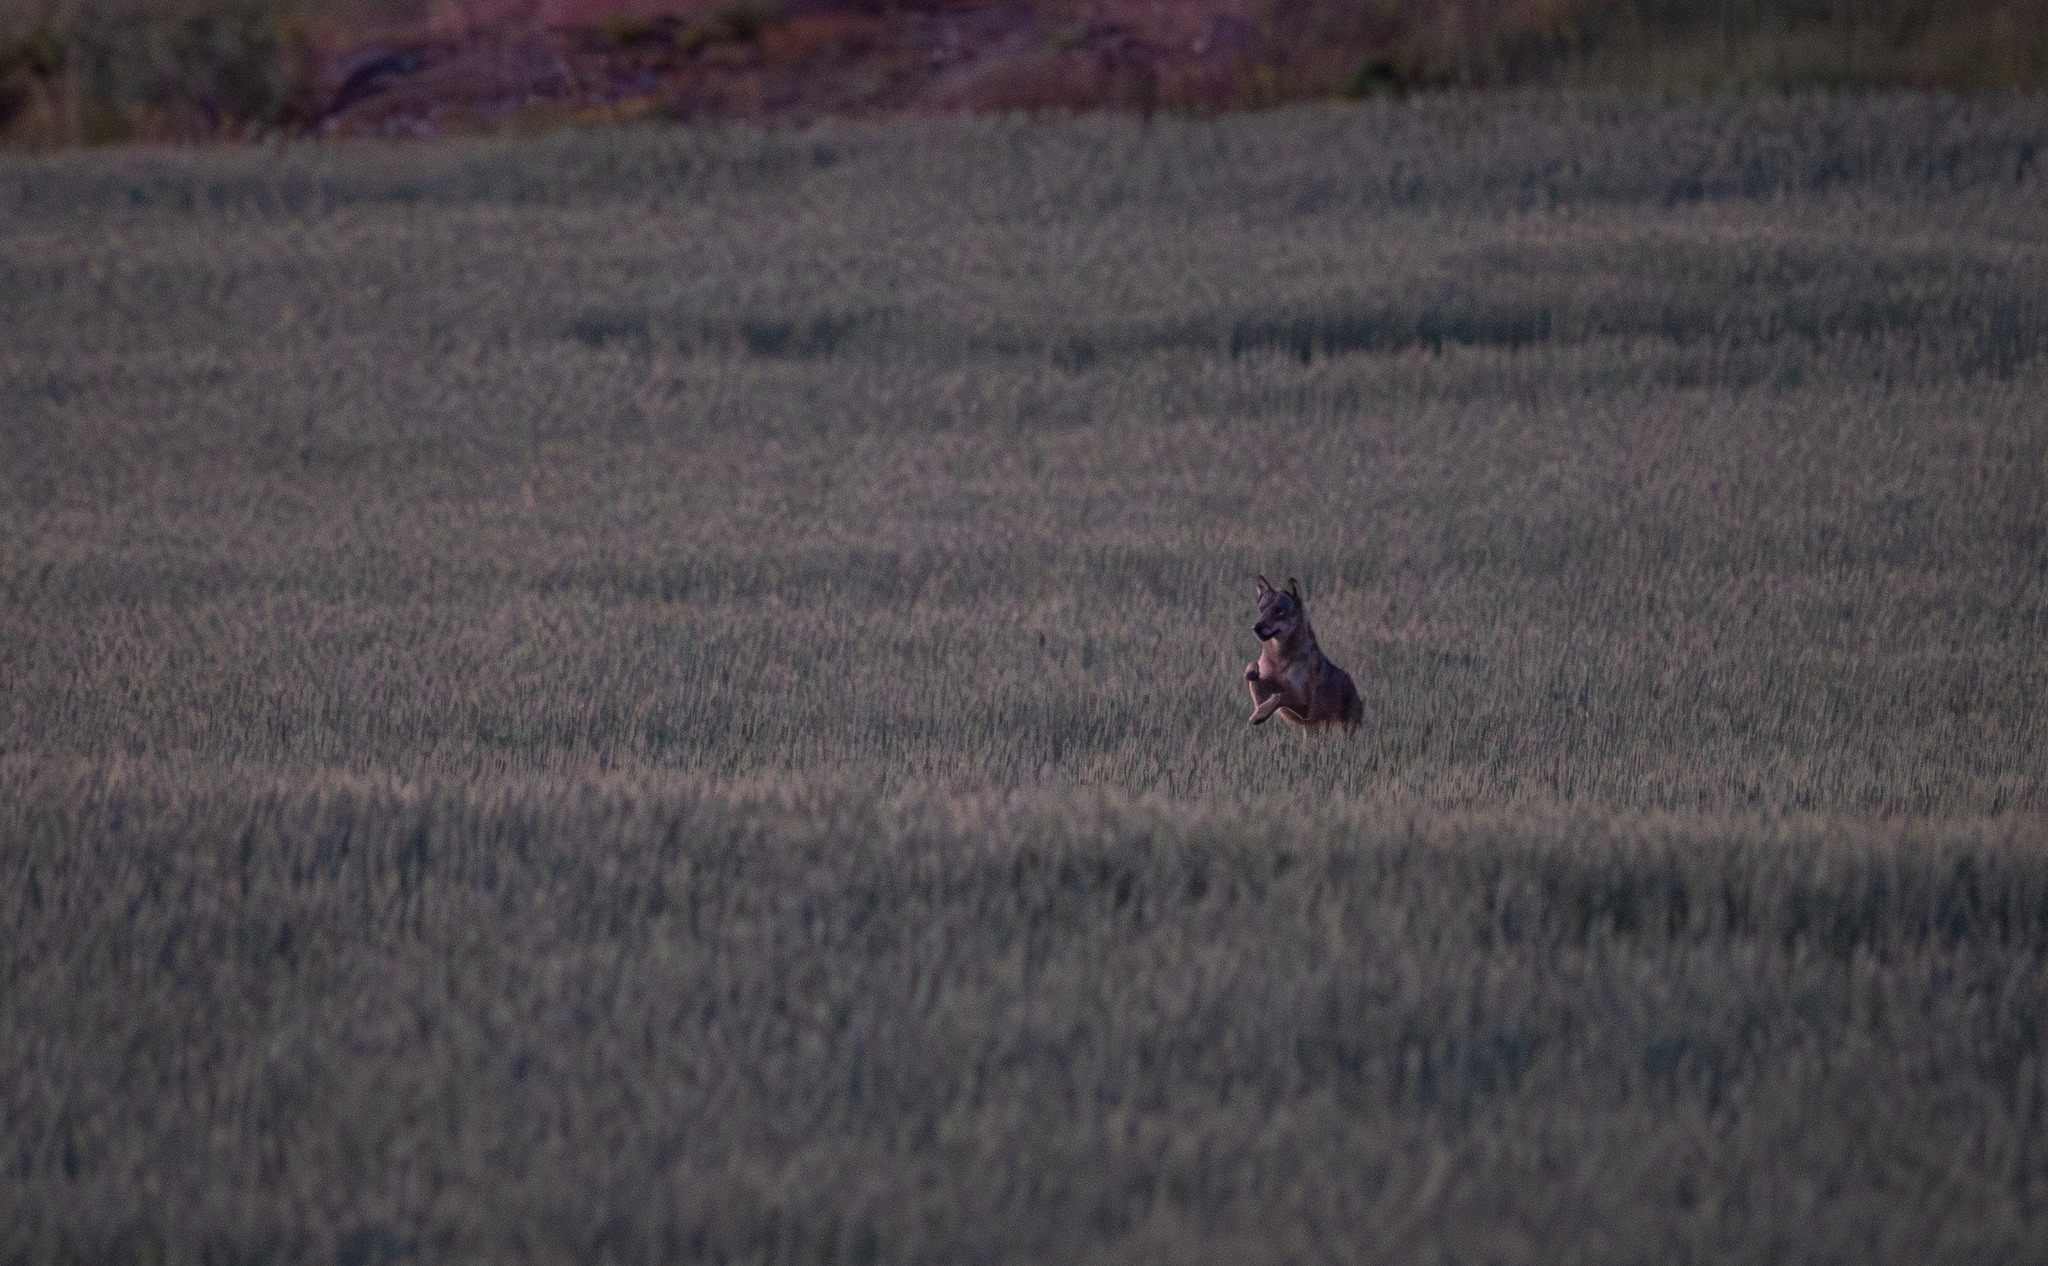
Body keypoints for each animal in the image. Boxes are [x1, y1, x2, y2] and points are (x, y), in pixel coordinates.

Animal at [1245, 575, 1363, 728]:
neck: (1280, 661)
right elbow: (1252, 666)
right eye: (1261, 610)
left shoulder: (1305, 707)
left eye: (1280, 612)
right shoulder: (1260, 699)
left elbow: (1280, 696)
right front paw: (1252, 673)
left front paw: (1259, 715)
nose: (1256, 627)